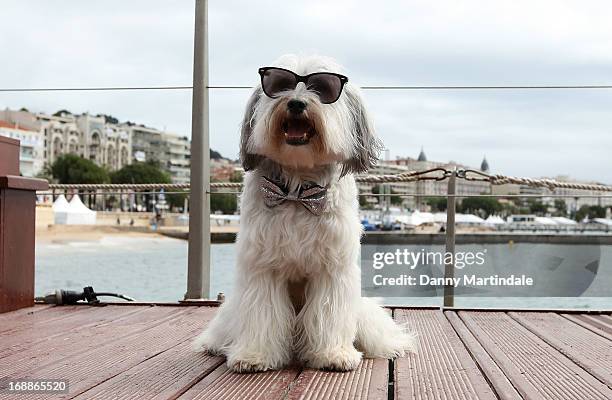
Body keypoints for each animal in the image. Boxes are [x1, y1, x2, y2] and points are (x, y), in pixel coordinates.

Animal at [194, 54, 418, 374]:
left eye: (322, 88)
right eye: (278, 84)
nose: (297, 103)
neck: (297, 190)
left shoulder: (332, 269)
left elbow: (327, 314)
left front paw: (332, 354)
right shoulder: (262, 266)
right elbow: (262, 312)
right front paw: (254, 355)